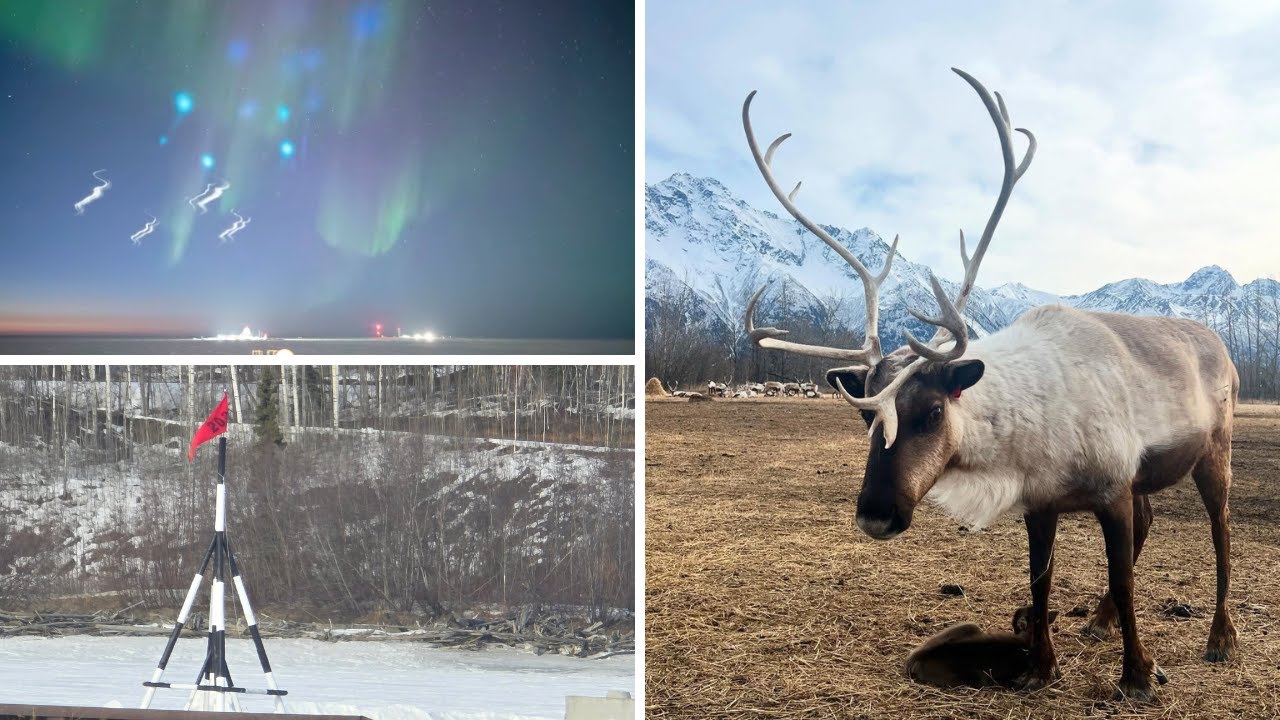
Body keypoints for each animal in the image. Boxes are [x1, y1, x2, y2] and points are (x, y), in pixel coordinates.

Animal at [740, 68, 1238, 702]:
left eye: (932, 411)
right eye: (864, 415)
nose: (876, 514)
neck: (1027, 437)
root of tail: (1220, 344)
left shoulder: (1112, 488)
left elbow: (1124, 580)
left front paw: (1138, 675)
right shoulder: (1045, 501)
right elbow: (1040, 580)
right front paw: (1041, 668)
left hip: (1214, 450)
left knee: (1221, 532)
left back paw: (1220, 637)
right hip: (1147, 477)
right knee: (1151, 525)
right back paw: (1100, 623)